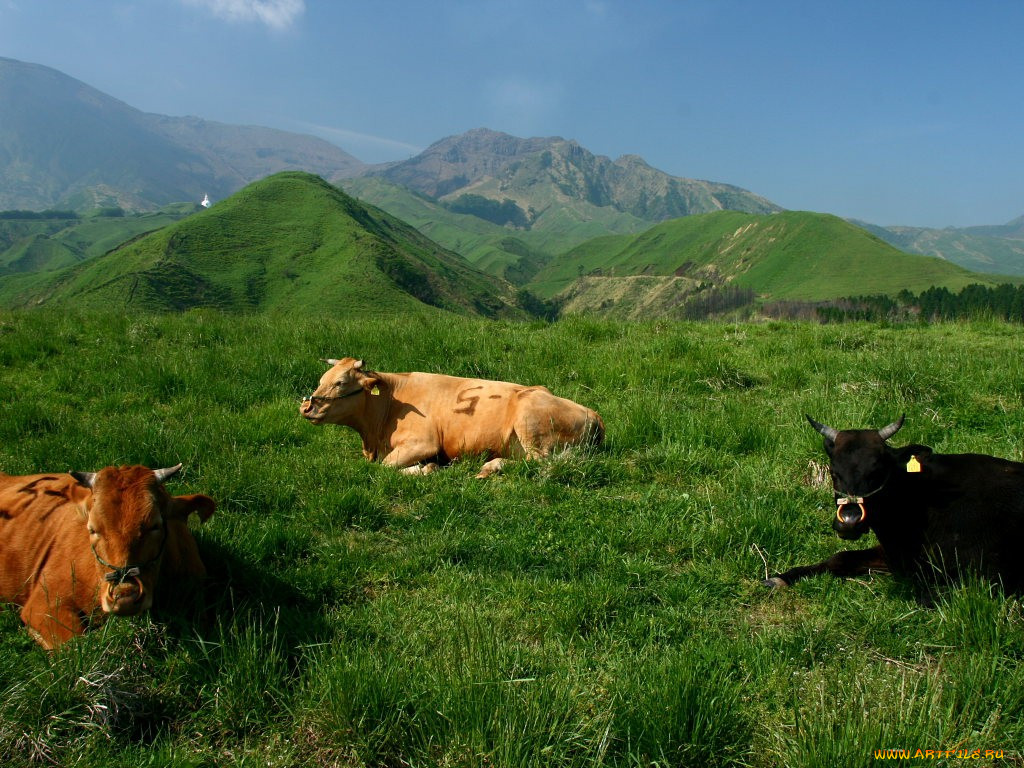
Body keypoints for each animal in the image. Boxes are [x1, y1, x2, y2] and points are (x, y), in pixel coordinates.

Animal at [299, 360, 598, 479]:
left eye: (340, 382)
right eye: (322, 379)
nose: (307, 408)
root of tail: (594, 414)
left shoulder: (424, 442)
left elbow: (386, 467)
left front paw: (428, 468)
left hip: (531, 426)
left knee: (540, 464)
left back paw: (491, 466)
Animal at [765, 415, 1024, 593]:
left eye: (877, 471)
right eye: (833, 472)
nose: (849, 521)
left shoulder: (988, 576)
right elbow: (840, 557)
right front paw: (782, 577)